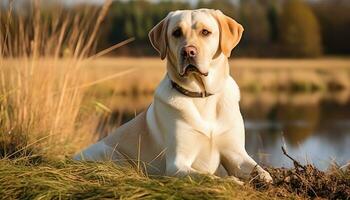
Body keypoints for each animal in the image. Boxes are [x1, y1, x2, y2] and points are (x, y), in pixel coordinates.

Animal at [75, 8, 274, 183]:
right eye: (176, 32)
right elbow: (207, 176)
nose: (188, 51)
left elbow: (257, 168)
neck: (201, 96)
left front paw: (263, 177)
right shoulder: (177, 164)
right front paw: (231, 181)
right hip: (109, 152)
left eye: (205, 32)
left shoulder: (236, 154)